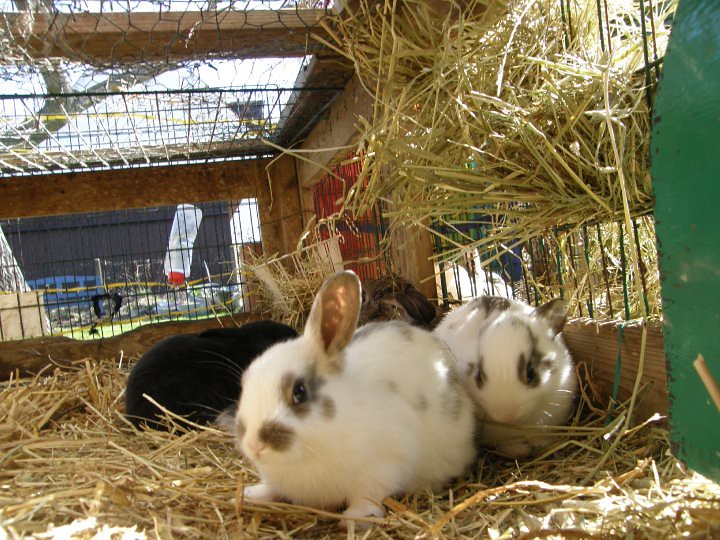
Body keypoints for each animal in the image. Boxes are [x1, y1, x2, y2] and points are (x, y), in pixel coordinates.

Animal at [232, 270, 479, 526]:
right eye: (245, 383)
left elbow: (368, 497)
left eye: (299, 391)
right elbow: (272, 488)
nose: (254, 445)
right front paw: (249, 495)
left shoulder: (384, 467)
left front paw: (354, 518)